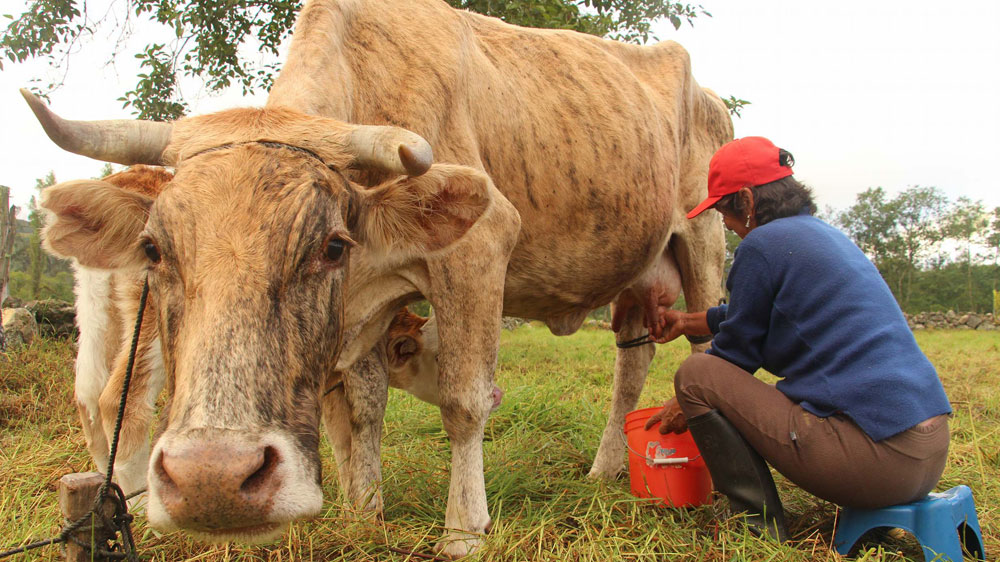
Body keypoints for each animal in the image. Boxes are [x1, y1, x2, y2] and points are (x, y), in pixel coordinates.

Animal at [28, 0, 732, 556]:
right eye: (152, 249)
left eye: (331, 245)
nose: (213, 481)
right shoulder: (366, 306)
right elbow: (362, 410)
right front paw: (364, 513)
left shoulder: (476, 249)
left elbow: (464, 402)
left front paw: (463, 531)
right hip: (638, 280)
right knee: (630, 368)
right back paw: (604, 470)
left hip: (704, 241)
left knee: (706, 346)